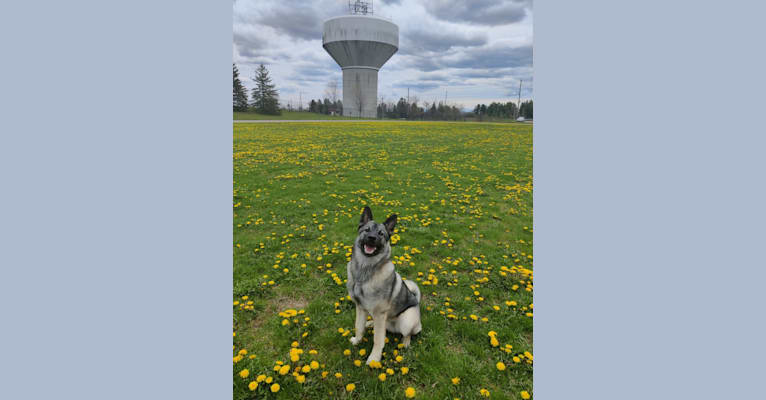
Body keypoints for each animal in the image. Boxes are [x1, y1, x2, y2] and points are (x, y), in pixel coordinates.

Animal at [346, 206, 424, 366]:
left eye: (381, 233)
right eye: (367, 230)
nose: (371, 238)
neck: (365, 271)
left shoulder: (380, 314)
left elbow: (378, 339)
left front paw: (374, 358)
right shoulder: (360, 308)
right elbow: (359, 327)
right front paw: (357, 341)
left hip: (406, 320)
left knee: (408, 334)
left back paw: (405, 343)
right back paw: (369, 324)